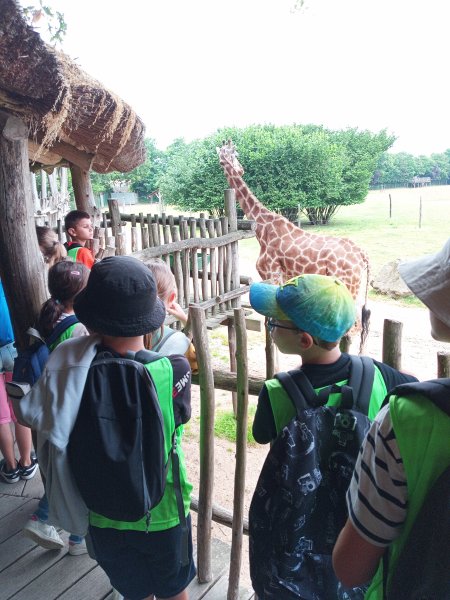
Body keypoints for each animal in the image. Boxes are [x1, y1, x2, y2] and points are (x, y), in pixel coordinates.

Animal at [217, 140, 371, 351]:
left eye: (235, 154)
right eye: (227, 157)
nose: (240, 169)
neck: (262, 228)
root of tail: (362, 255)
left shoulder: (271, 273)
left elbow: (270, 319)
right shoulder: (280, 277)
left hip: (349, 285)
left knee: (353, 327)